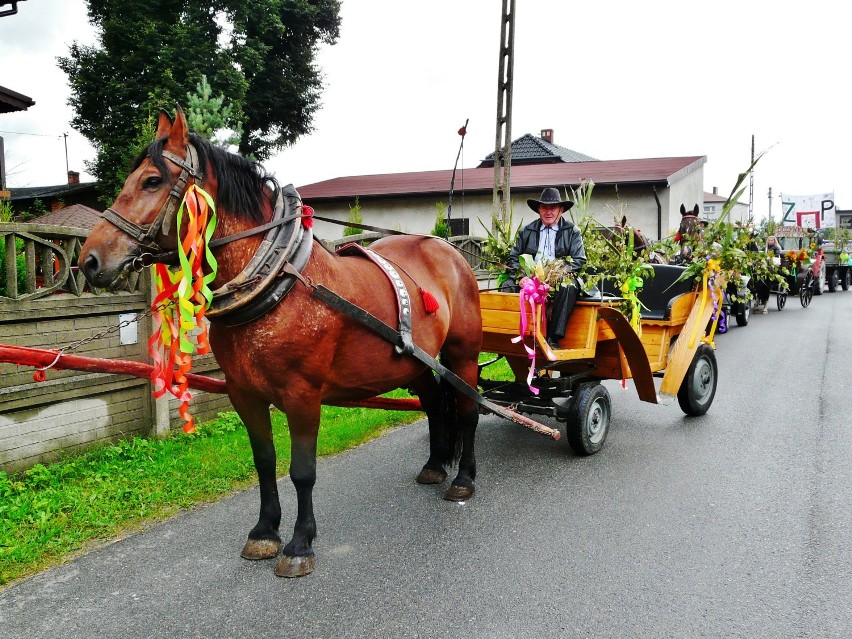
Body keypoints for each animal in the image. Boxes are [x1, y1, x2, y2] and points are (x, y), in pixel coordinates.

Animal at [76, 109, 482, 580]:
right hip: (415, 363)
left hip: (463, 354)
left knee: (468, 409)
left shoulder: (302, 395)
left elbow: (302, 470)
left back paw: (463, 479)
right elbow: (265, 461)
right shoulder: (244, 393)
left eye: (152, 181)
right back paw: (435, 466)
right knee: (435, 404)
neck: (278, 279)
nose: (89, 261)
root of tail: (447, 249)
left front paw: (300, 542)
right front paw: (265, 531)